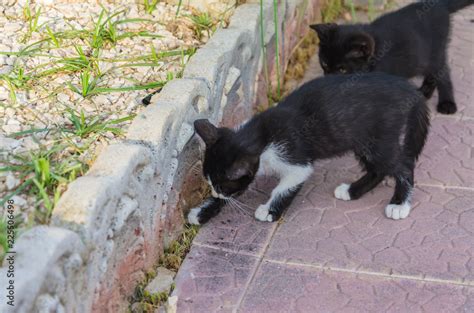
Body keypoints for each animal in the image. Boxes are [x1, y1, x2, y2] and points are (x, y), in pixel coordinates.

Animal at [188, 72, 430, 224]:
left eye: (223, 185)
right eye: (211, 184)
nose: (215, 192)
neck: (261, 135)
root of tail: (409, 90)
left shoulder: (296, 161)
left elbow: (285, 186)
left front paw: (269, 210)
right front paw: (202, 211)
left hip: (379, 138)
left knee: (402, 166)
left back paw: (399, 204)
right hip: (363, 140)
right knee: (378, 169)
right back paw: (352, 191)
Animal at [310, 0, 472, 114]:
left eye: (342, 70)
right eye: (324, 64)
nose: (328, 81)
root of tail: (439, 5)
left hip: (434, 52)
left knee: (442, 73)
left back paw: (447, 103)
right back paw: (424, 92)